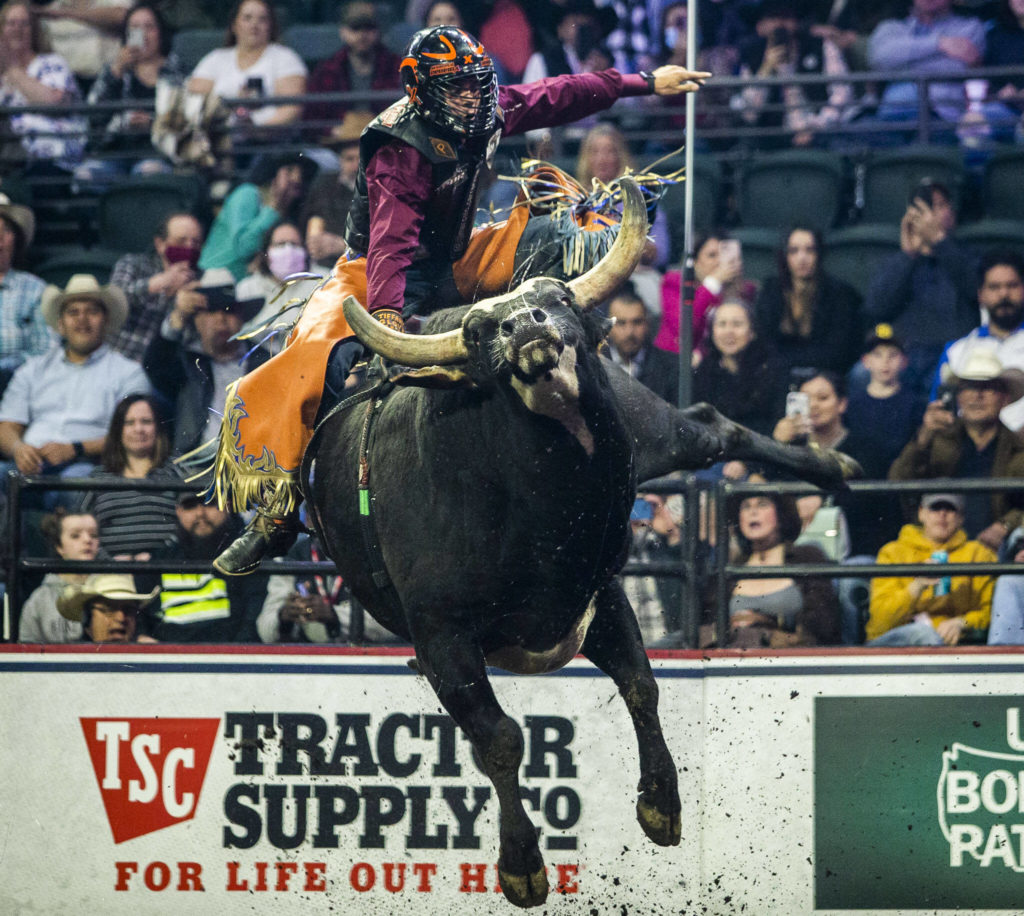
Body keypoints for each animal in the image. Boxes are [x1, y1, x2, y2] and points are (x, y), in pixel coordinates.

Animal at [299, 181, 856, 908]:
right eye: (479, 333)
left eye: (559, 299)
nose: (525, 324)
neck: (543, 515)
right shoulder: (441, 635)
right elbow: (500, 740)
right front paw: (521, 864)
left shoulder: (597, 594)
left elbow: (641, 686)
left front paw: (661, 804)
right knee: (714, 426)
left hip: (656, 433)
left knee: (715, 429)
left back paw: (830, 465)